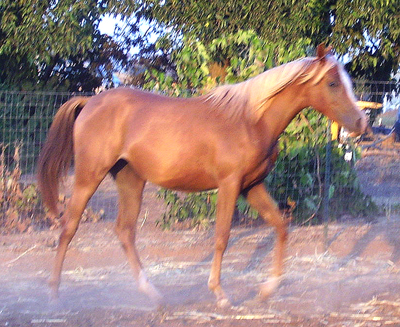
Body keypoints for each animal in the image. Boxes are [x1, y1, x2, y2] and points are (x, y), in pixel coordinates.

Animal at [37, 44, 366, 308]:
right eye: (333, 83)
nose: (360, 123)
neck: (251, 119)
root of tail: (89, 103)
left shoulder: (252, 186)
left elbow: (281, 226)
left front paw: (267, 289)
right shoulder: (230, 185)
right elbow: (221, 237)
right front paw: (220, 294)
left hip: (131, 179)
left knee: (125, 232)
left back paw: (153, 294)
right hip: (88, 177)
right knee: (69, 227)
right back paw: (53, 294)